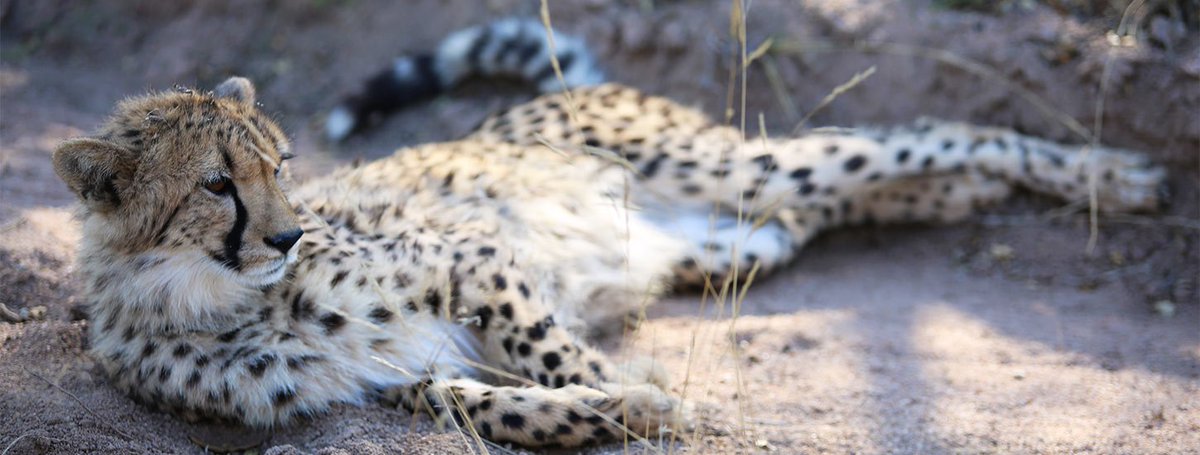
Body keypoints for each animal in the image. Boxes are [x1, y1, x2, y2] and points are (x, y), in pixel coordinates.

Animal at [55, 20, 1165, 450]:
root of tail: (543, 99)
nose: (291, 233)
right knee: (827, 207)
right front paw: (632, 407)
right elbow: (501, 404)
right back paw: (958, 196)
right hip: (727, 237)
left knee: (917, 135)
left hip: (734, 165)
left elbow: (558, 355)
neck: (209, 295)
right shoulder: (389, 379)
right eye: (216, 184)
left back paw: (1113, 174)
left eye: (279, 163)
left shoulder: (473, 260)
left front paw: (657, 397)